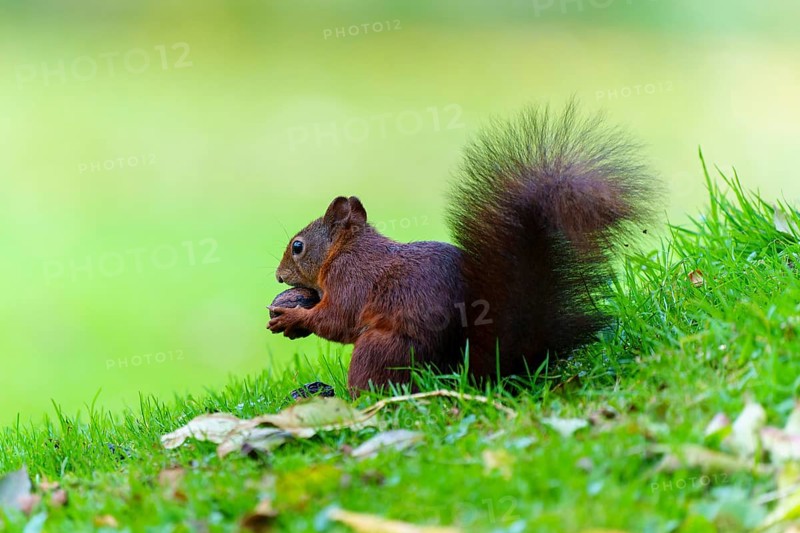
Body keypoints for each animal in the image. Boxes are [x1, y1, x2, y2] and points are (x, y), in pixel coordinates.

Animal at [268, 102, 657, 394]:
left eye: (297, 246)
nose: (278, 276)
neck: (345, 249)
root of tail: (465, 376)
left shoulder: (350, 278)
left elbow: (337, 320)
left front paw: (292, 317)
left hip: (380, 350)